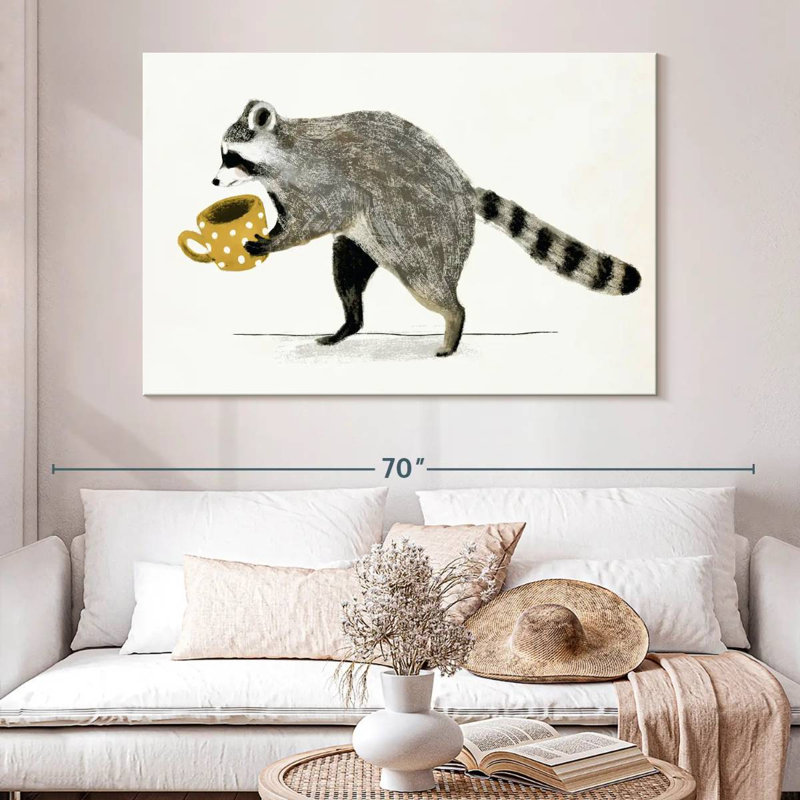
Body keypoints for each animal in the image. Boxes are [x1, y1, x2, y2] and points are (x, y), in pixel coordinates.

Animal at [214, 100, 641, 357]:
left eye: (231, 156)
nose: (215, 181)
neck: (279, 156)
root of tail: (464, 189)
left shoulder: (324, 182)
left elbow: (314, 220)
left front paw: (273, 242)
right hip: (374, 238)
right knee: (346, 269)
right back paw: (350, 323)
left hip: (424, 232)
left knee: (429, 285)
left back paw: (453, 321)